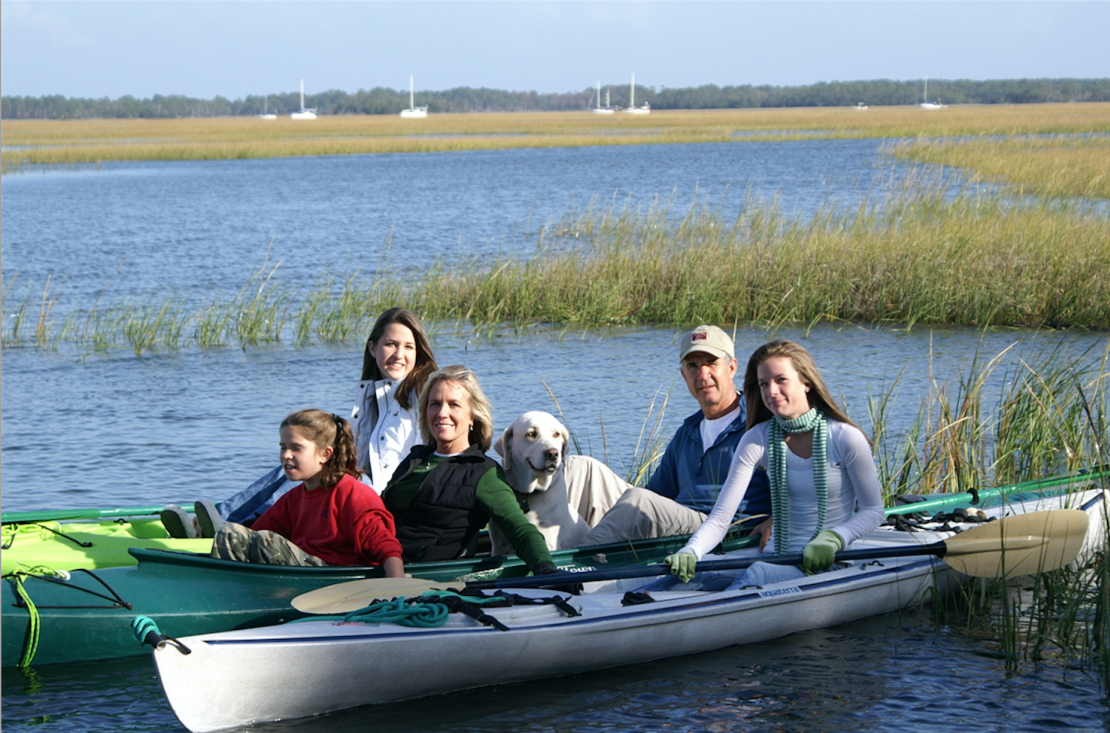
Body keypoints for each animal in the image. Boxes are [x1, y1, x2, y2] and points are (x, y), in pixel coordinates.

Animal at [495, 408, 634, 553]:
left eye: (556, 434)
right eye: (531, 434)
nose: (553, 453)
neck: (529, 494)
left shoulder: (549, 541)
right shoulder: (499, 546)